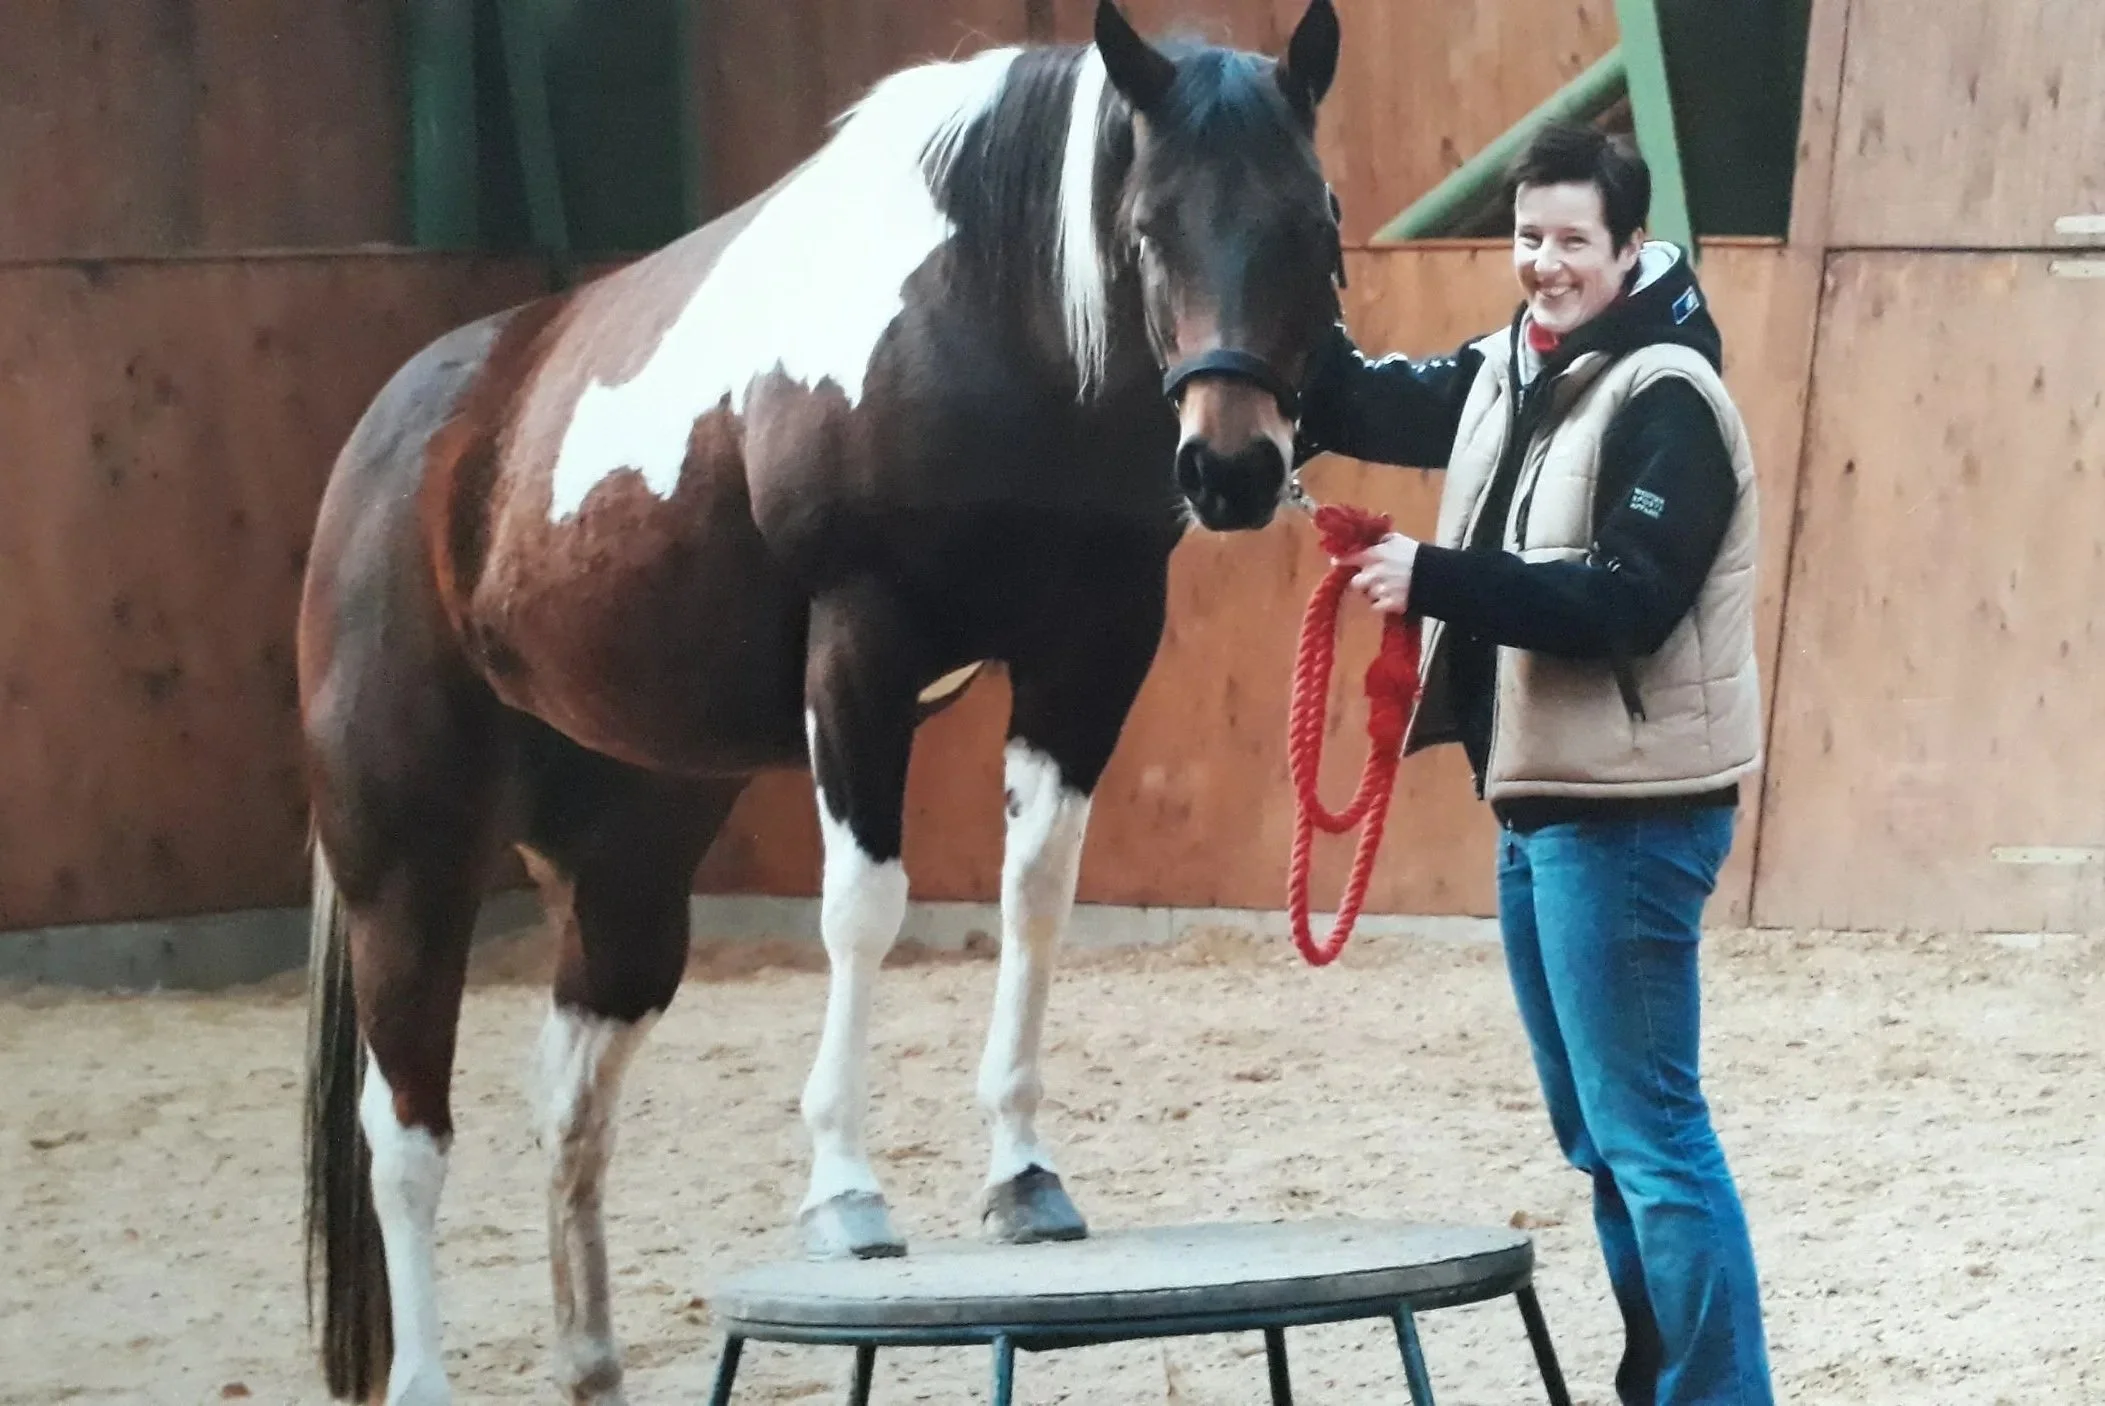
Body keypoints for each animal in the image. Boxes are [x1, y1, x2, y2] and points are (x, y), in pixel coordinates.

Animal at [298, 2, 1346, 1401]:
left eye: (1314, 223)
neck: (988, 323)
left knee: (570, 1093)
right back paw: (424, 1367)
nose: (1230, 469)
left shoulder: (1088, 654)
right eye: (1143, 225)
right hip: (407, 859)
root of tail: (393, 440)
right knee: (404, 1127)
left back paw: (590, 1351)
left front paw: (1021, 1173)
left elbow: (1035, 898)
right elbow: (862, 909)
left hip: (626, 872)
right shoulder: (860, 650)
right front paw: (846, 1190)